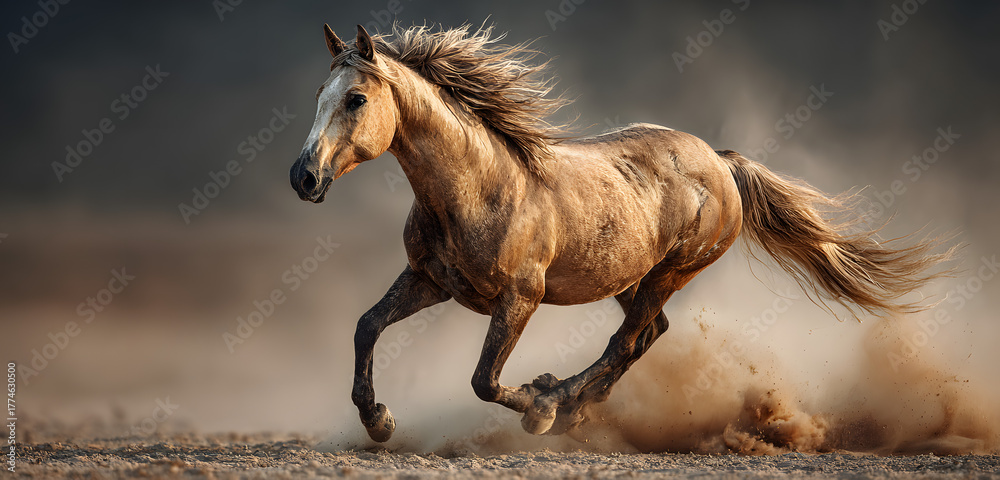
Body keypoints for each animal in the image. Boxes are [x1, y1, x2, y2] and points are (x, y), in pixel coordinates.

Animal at [289, 23, 953, 442]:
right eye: (318, 93)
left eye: (355, 98)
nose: (303, 176)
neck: (477, 189)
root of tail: (720, 162)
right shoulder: (431, 282)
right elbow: (366, 326)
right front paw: (379, 421)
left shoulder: (520, 298)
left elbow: (484, 380)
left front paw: (536, 409)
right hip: (631, 276)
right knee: (646, 335)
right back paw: (574, 407)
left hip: (672, 272)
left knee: (626, 342)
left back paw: (557, 401)